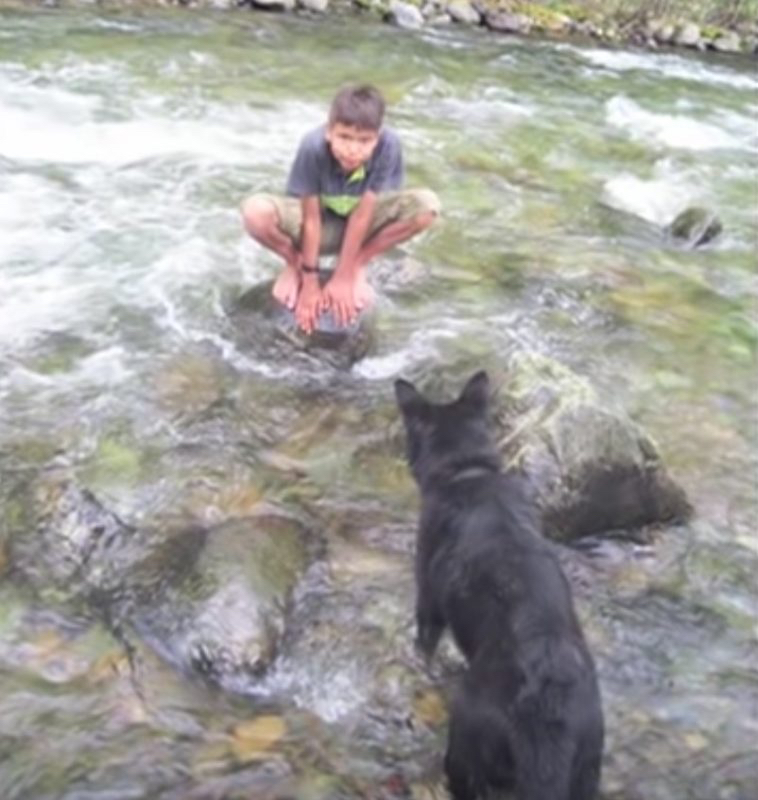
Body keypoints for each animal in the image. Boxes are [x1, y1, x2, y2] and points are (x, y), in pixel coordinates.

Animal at [398, 372, 604, 800]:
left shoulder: (428, 602)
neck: (468, 473)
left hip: (464, 745)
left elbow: (423, 647)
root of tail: (547, 708)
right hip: (587, 769)